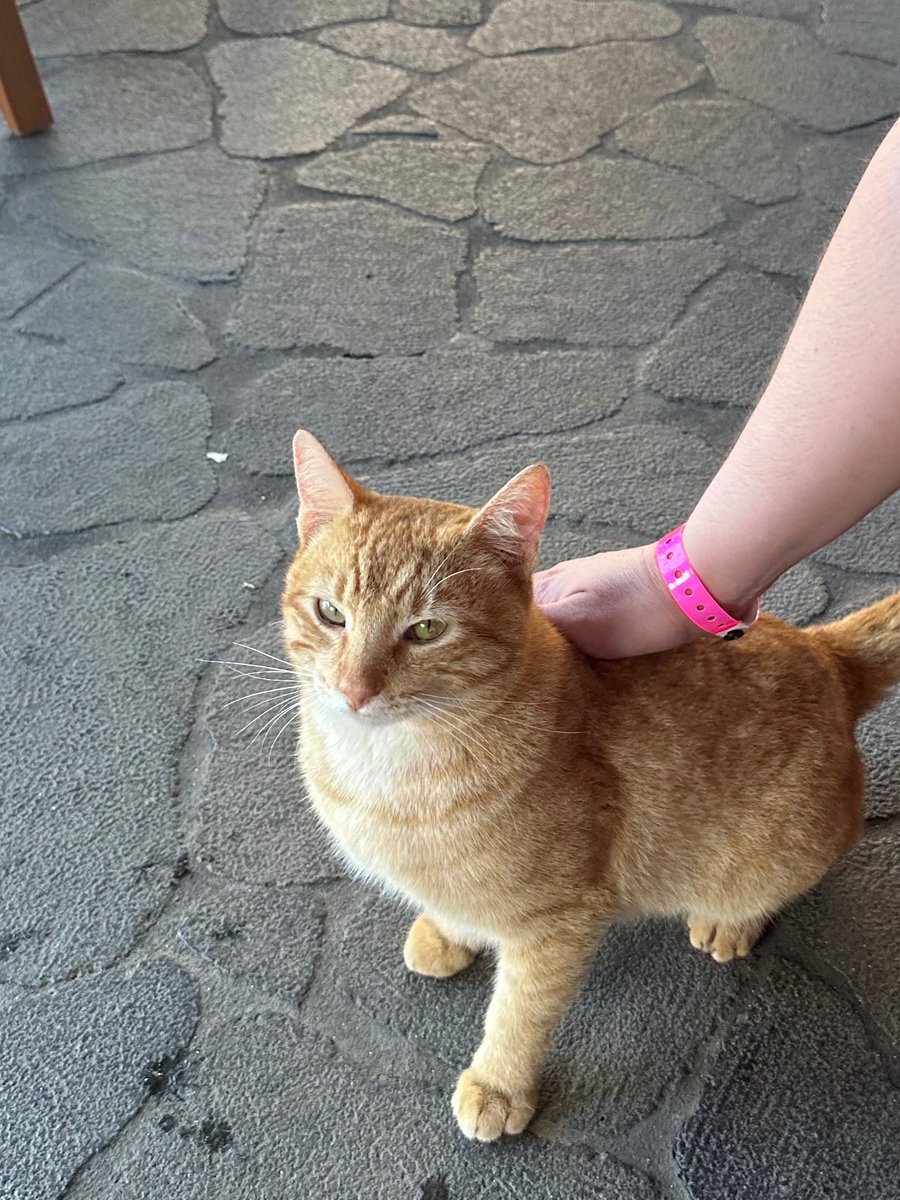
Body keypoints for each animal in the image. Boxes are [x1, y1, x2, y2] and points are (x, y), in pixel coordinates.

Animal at [283, 432, 900, 1142]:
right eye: (331, 614)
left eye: (427, 630)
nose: (355, 691)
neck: (383, 773)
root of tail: (826, 651)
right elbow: (456, 902)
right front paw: (449, 930)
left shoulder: (560, 921)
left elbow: (520, 1013)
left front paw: (498, 1085)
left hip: (778, 854)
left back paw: (729, 923)